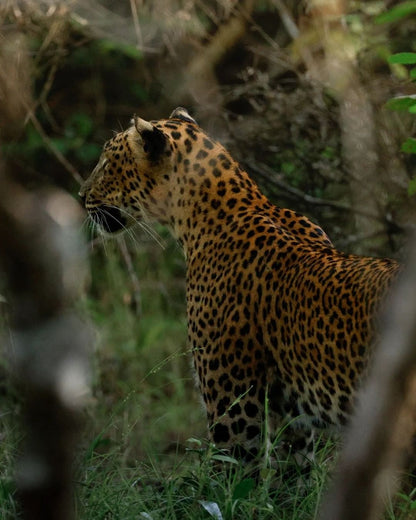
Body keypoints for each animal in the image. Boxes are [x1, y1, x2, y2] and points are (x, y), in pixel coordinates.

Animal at [79, 107, 402, 474]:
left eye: (107, 163)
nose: (80, 196)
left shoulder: (233, 407)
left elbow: (228, 480)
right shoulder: (291, 416)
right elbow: (292, 479)